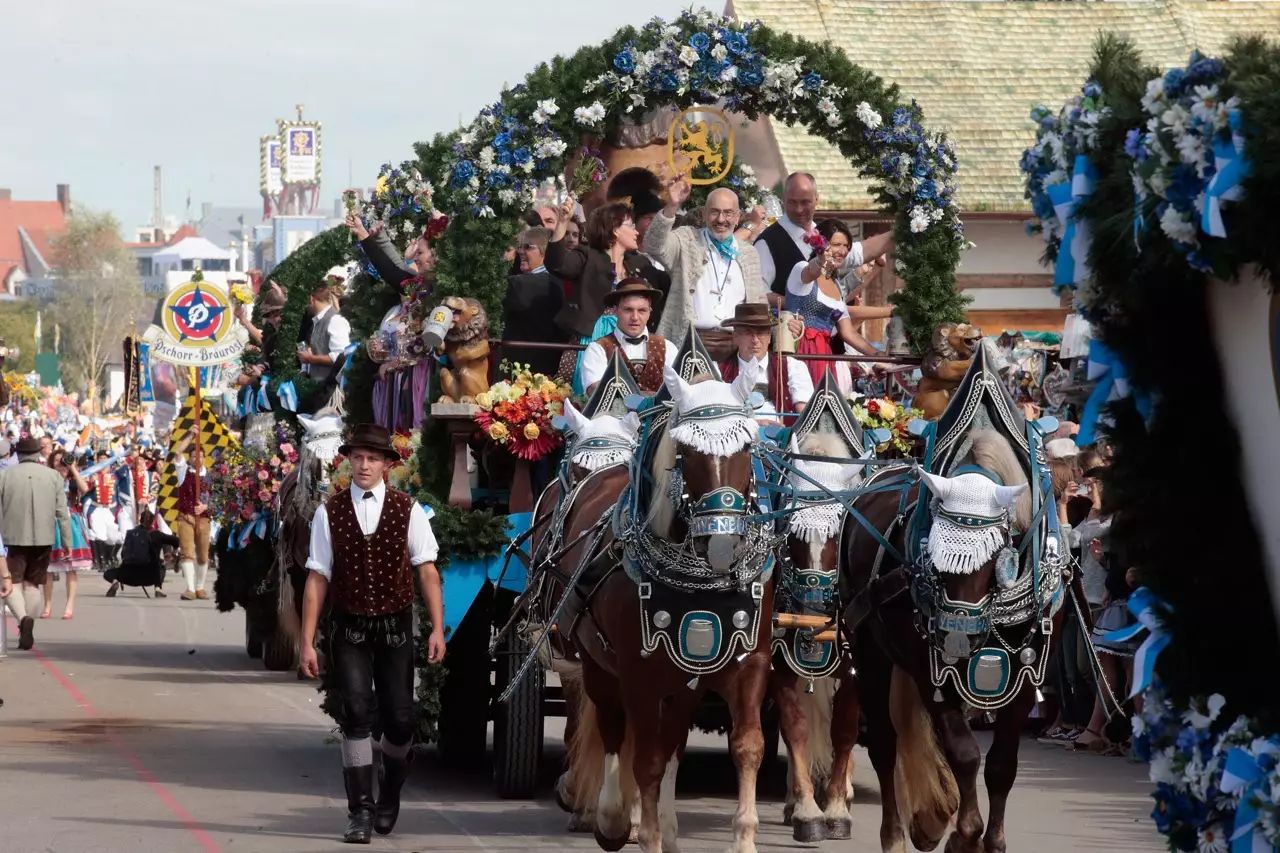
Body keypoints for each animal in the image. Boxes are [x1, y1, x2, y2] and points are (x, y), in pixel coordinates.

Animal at [573, 361, 773, 850]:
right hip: (597, 662)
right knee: (613, 725)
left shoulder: (750, 661)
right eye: (686, 451)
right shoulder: (639, 671)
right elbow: (643, 759)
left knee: (673, 739)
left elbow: (748, 746)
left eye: (748, 446)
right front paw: (644, 834)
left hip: (686, 679)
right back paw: (613, 818)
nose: (722, 543)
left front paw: (744, 837)